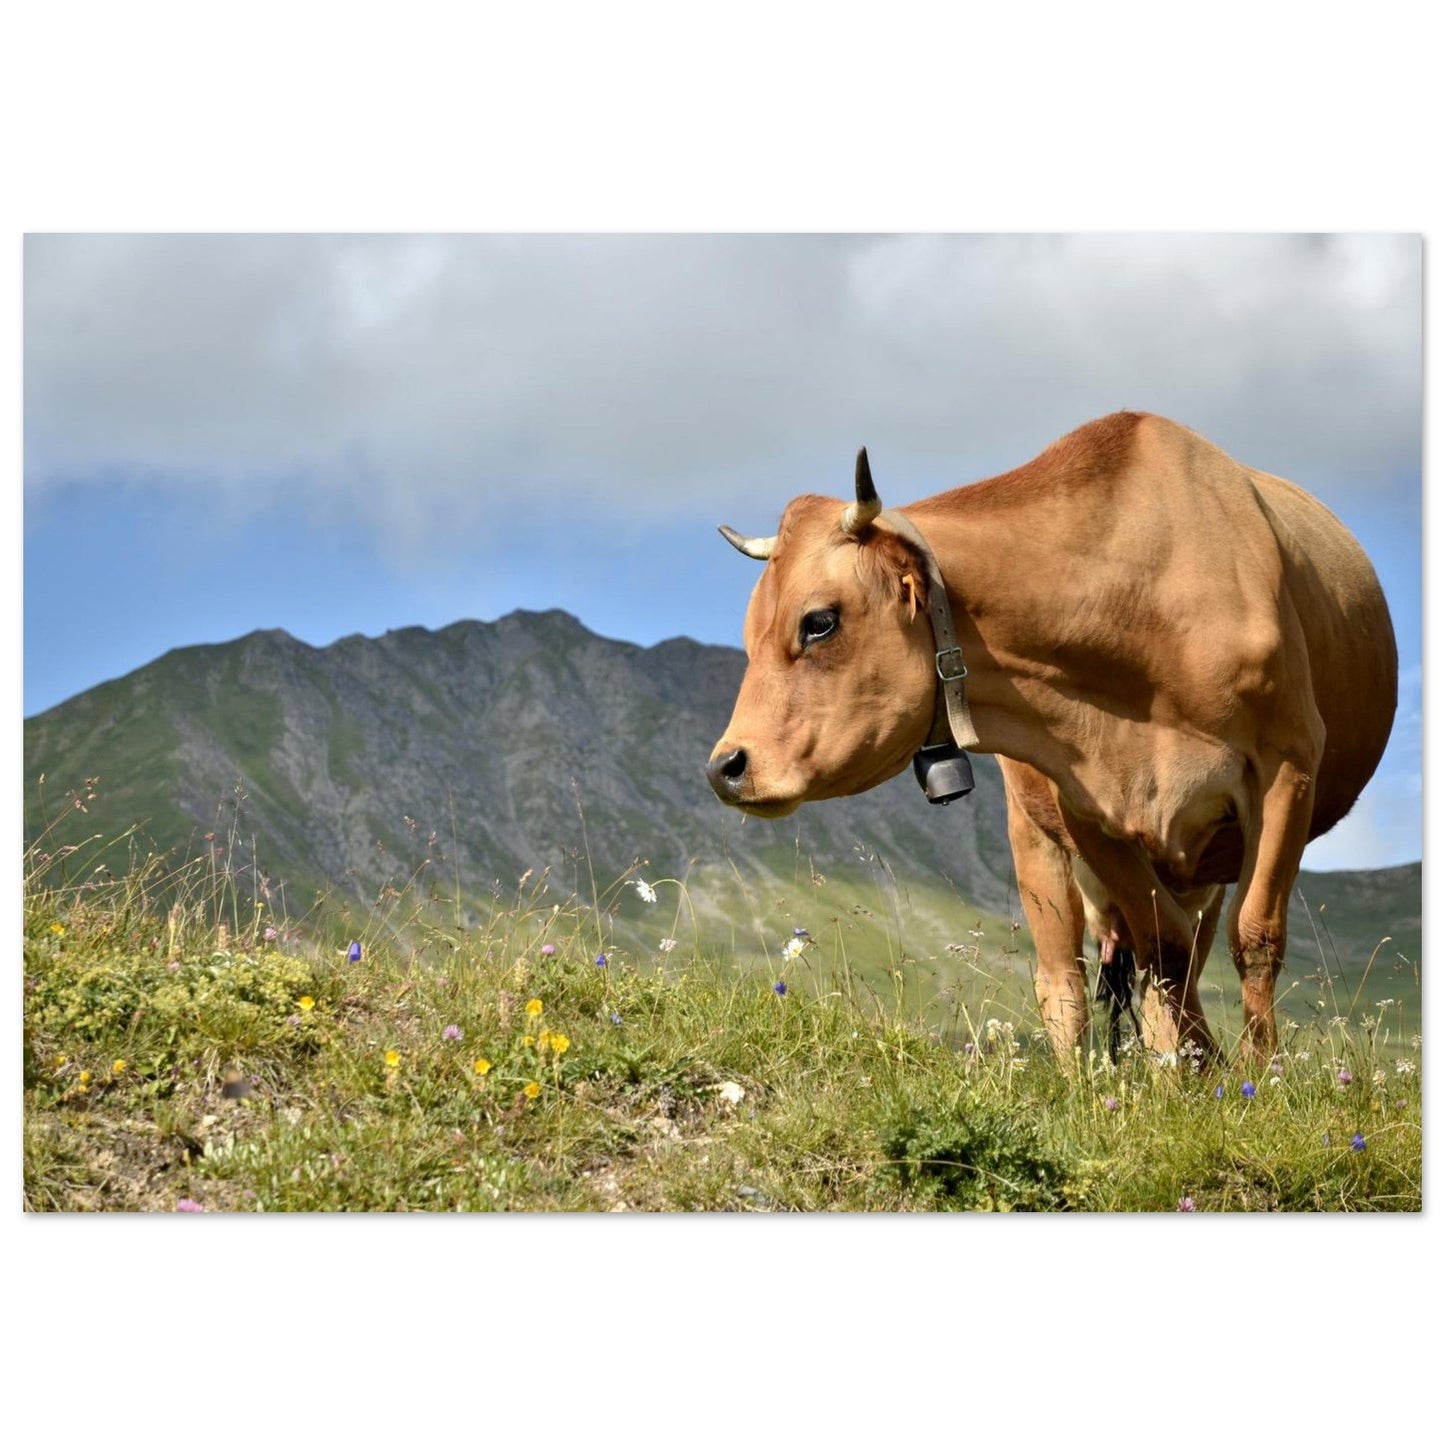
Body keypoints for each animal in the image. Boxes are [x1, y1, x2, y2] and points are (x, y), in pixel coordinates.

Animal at [707, 412, 1397, 1065]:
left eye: (819, 622)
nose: (725, 767)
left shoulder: (1290, 764)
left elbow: (1253, 938)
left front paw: (1256, 1072)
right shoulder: (1086, 807)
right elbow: (1163, 949)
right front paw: (1199, 1070)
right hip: (1035, 835)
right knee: (1068, 979)